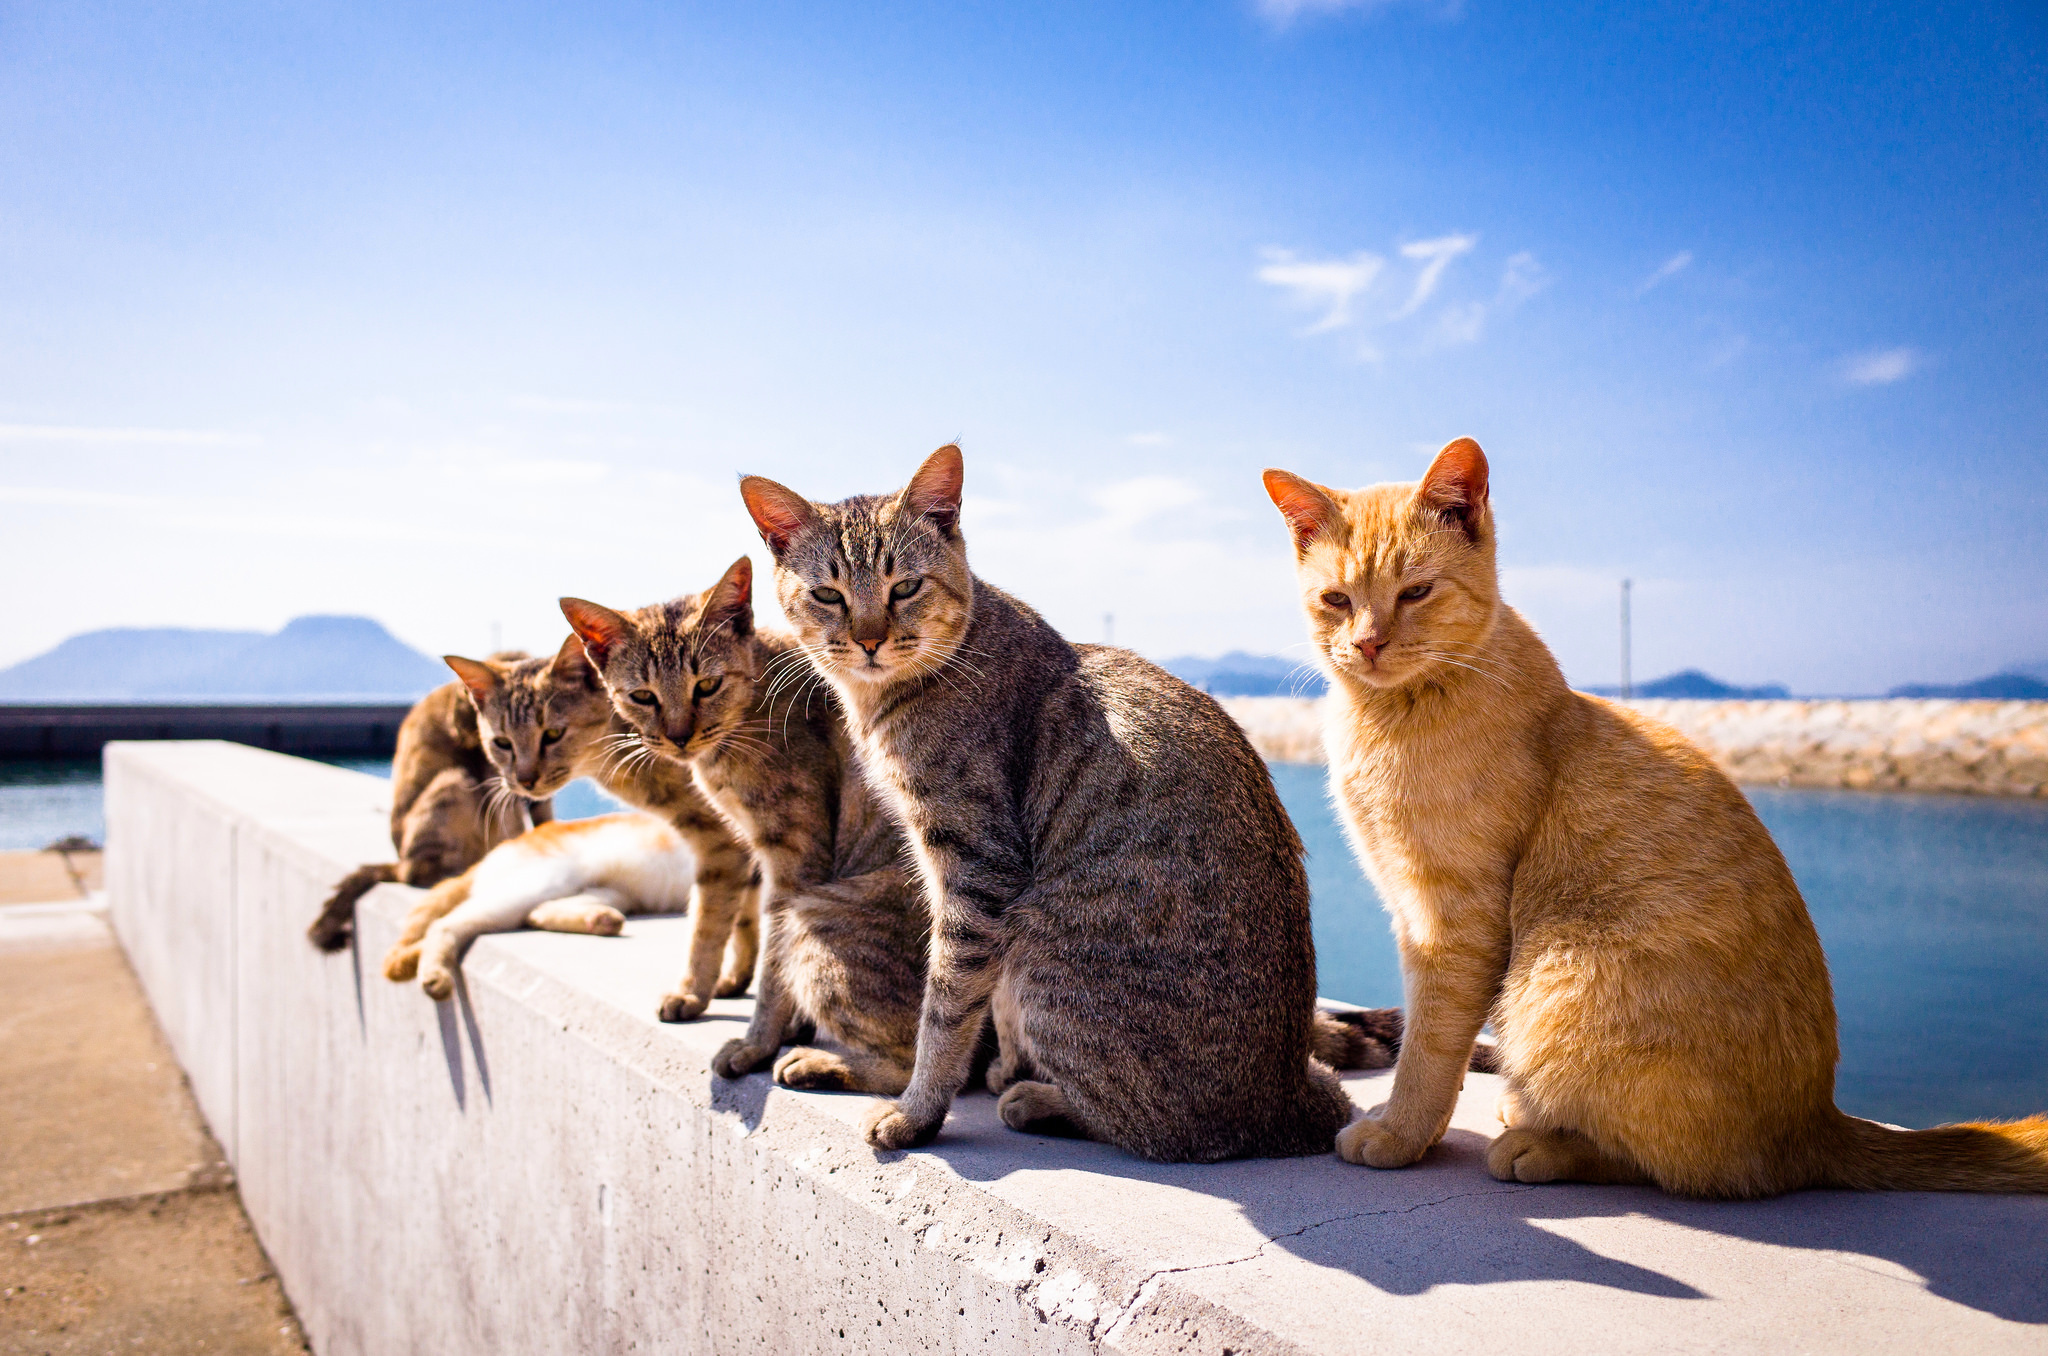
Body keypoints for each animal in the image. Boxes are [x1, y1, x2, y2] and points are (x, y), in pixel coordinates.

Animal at [376, 639, 761, 1007]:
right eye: (502, 743)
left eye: (552, 734)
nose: (525, 779)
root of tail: (506, 847)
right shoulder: (726, 843)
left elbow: (743, 921)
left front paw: (732, 981)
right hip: (534, 883)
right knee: (448, 924)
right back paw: (435, 977)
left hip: (605, 891)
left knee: (537, 913)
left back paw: (601, 920)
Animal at [565, 561, 937, 1097]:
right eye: (642, 697)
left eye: (707, 685)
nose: (679, 737)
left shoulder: (793, 859)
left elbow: (770, 968)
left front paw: (757, 1043)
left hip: (821, 911)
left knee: (919, 1066)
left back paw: (816, 1063)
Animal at [729, 448, 1368, 1171]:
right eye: (827, 595)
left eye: (906, 587)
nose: (869, 639)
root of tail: (1288, 1099)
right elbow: (979, 1012)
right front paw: (998, 1067)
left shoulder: (978, 867)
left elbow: (944, 1009)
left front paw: (919, 1111)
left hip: (1040, 948)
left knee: (1157, 1131)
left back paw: (1036, 1100)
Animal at [1261, 438, 2048, 1204]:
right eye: (1337, 599)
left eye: (1416, 591)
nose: (1368, 643)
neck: (1390, 713)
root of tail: (1818, 1123)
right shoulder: (1409, 908)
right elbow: (1429, 1034)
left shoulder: (1453, 920)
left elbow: (1430, 1044)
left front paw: (1401, 1132)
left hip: (1559, 980)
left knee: (1688, 1169)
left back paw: (1543, 1144)